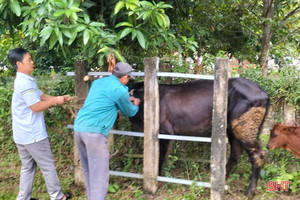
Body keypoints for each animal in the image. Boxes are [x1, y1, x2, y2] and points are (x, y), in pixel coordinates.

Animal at [128, 76, 270, 195]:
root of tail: (264, 93)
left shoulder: (164, 131)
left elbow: (159, 156)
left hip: (243, 126)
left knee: (257, 155)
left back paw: (250, 191)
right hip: (232, 129)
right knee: (236, 153)